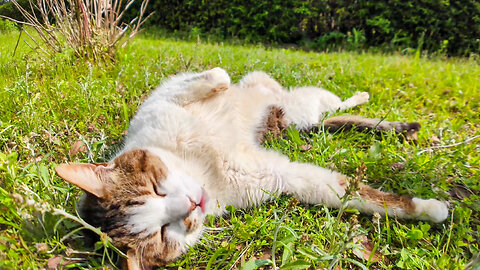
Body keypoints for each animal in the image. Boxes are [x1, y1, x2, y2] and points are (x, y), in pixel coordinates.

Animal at [56, 67, 450, 270]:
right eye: (164, 235)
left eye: (156, 186)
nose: (192, 206)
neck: (203, 169)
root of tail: (295, 121)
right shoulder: (283, 177)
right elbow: (354, 195)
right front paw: (429, 209)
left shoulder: (162, 100)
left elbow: (209, 78)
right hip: (304, 115)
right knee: (328, 116)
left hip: (302, 100)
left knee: (331, 103)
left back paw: (358, 97)